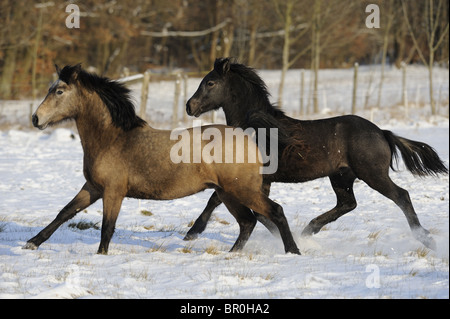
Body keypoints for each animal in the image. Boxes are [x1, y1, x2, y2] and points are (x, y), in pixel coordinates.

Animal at [22, 64, 300, 255]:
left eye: (59, 91)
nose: (36, 119)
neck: (112, 139)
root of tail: (248, 136)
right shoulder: (93, 187)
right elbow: (64, 213)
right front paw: (31, 243)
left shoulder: (113, 191)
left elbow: (107, 227)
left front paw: (101, 256)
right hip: (227, 192)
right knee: (248, 222)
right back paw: (231, 254)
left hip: (241, 190)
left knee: (274, 212)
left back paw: (293, 251)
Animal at [185, 58, 448, 251]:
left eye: (210, 83)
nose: (189, 106)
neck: (256, 128)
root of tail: (382, 133)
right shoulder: (260, 181)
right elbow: (255, 211)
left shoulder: (249, 178)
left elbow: (218, 200)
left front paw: (192, 232)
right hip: (341, 177)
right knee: (347, 203)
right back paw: (308, 230)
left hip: (372, 174)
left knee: (401, 196)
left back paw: (427, 240)